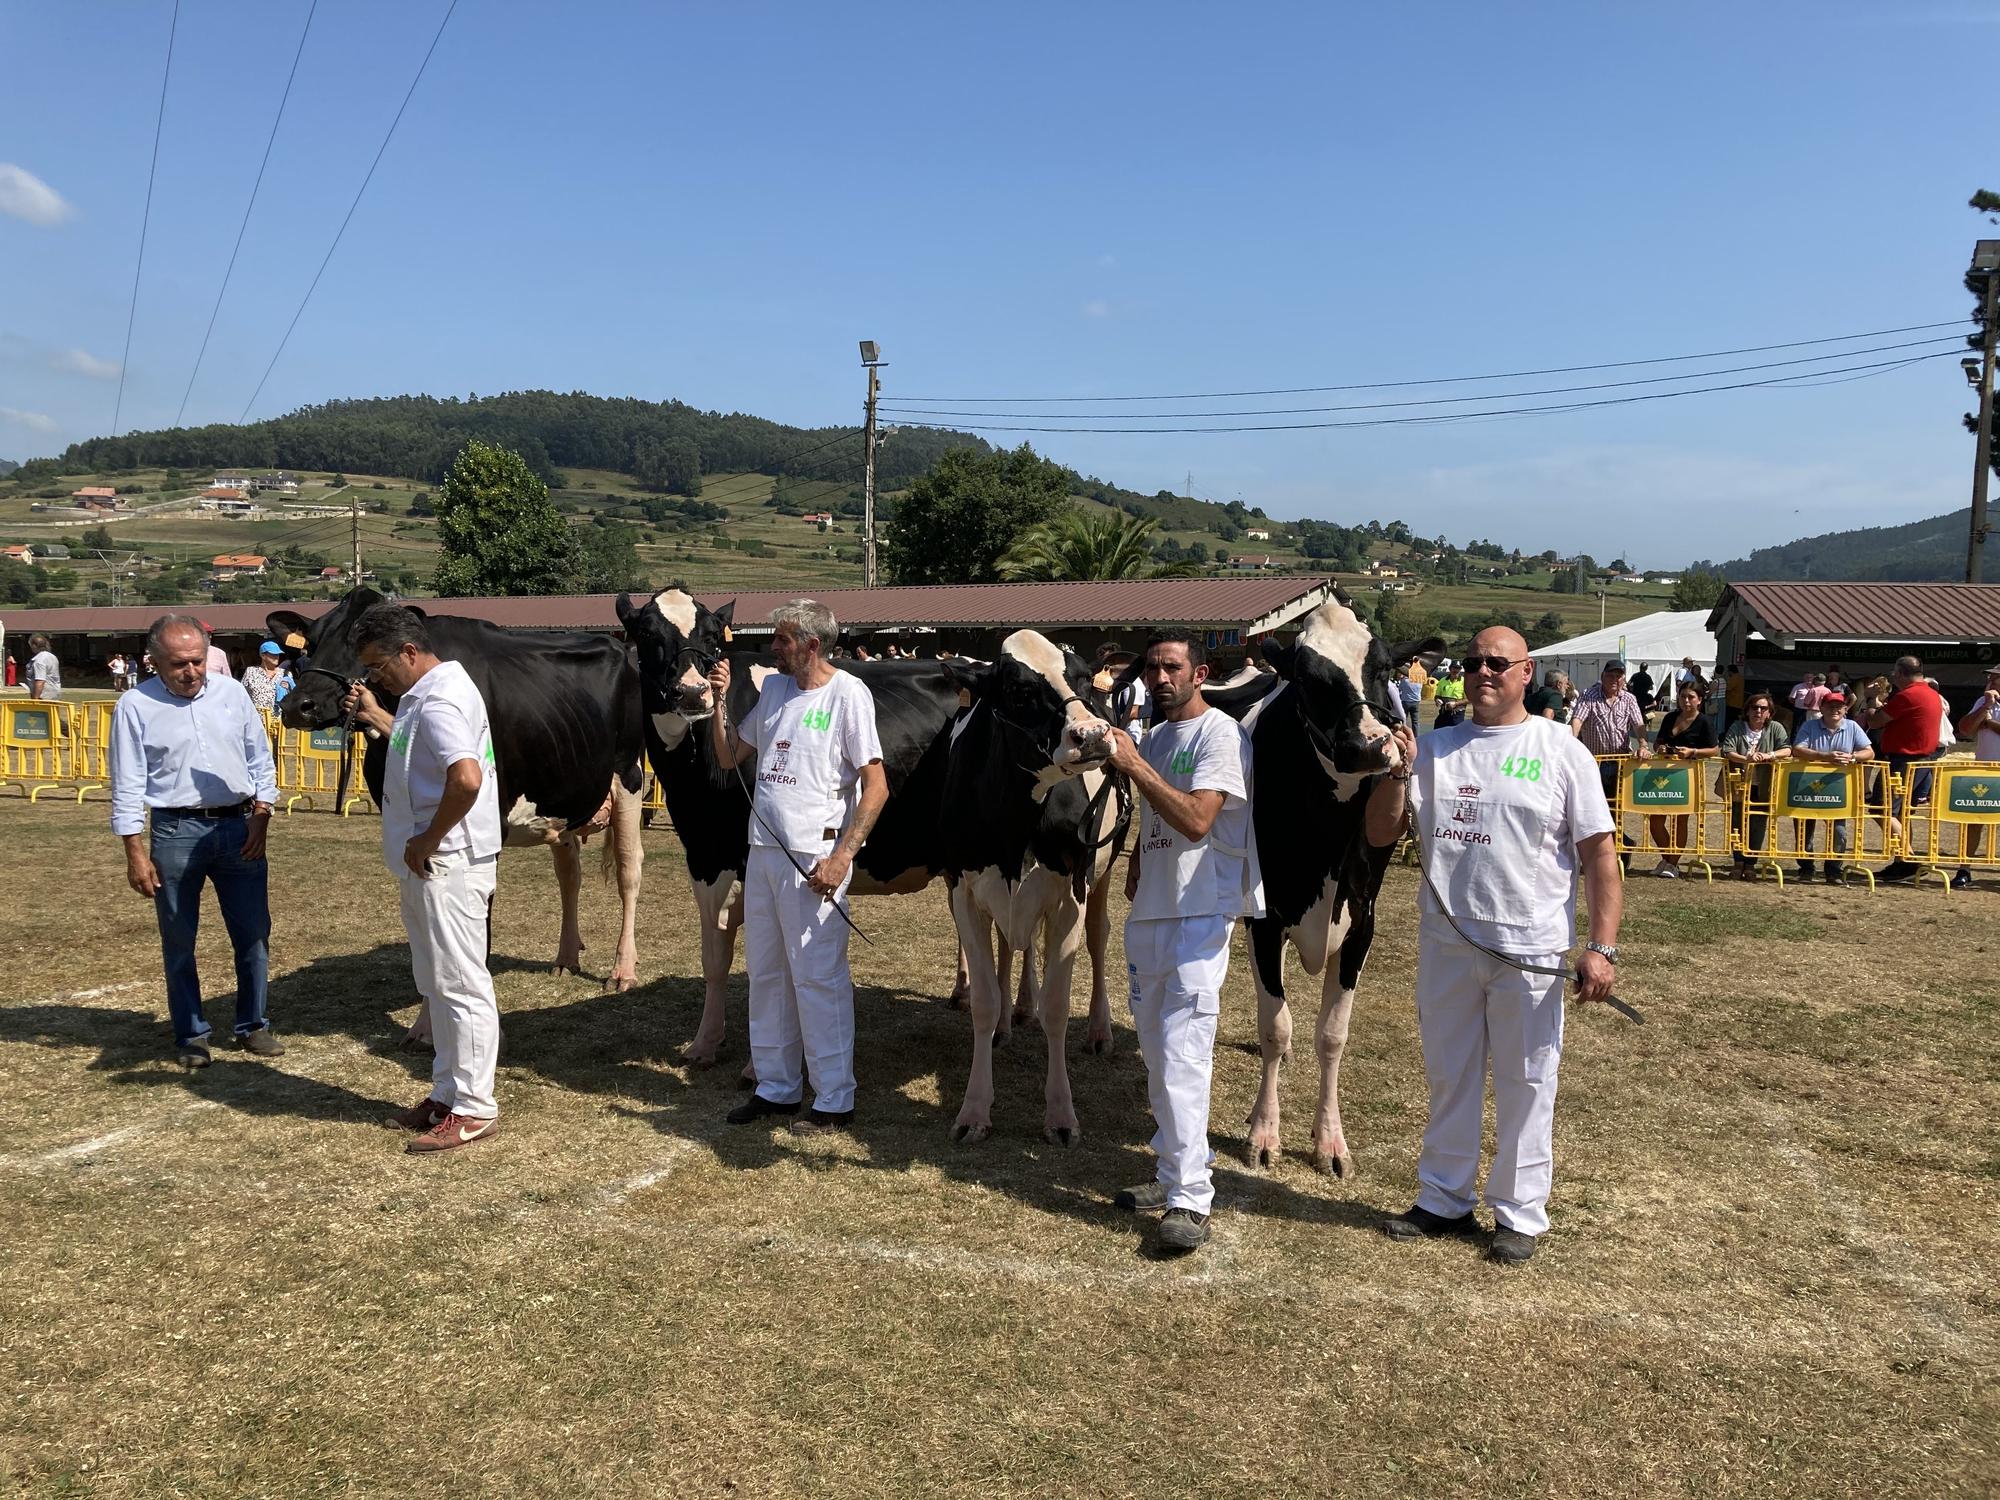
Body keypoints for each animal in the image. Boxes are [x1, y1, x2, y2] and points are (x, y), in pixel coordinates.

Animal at [272, 592, 648, 1000]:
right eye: (310, 643)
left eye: (359, 645)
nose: (297, 706)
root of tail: (619, 644)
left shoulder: (489, 821)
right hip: (562, 791)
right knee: (569, 873)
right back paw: (566, 957)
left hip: (629, 776)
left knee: (629, 870)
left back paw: (622, 969)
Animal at [936, 632, 1128, 1136]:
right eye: (1019, 691)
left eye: (1084, 678)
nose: (1093, 735)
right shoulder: (963, 891)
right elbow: (983, 1001)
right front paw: (974, 1110)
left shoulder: (1071, 894)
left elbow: (1058, 1008)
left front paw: (1061, 1113)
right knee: (1011, 944)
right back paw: (1012, 1015)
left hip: (1102, 874)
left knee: (1098, 940)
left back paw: (1097, 1030)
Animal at [1200, 592, 1440, 1184]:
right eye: (1308, 680)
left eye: (1385, 670)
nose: (1370, 745)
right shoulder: (1265, 919)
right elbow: (1275, 1026)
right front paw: (1264, 1135)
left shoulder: (1361, 922)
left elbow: (1331, 1035)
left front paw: (1330, 1142)